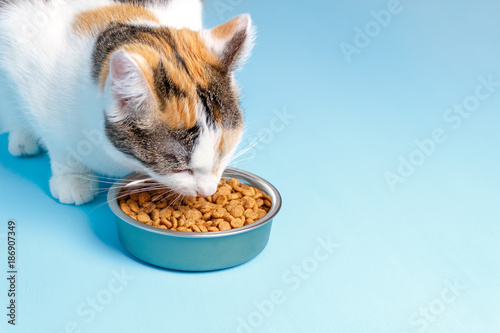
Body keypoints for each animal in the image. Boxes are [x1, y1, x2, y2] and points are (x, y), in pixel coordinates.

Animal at [0, 0, 256, 205]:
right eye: (177, 165)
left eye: (223, 152)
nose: (207, 191)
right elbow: (58, 143)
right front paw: (72, 179)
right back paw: (21, 137)